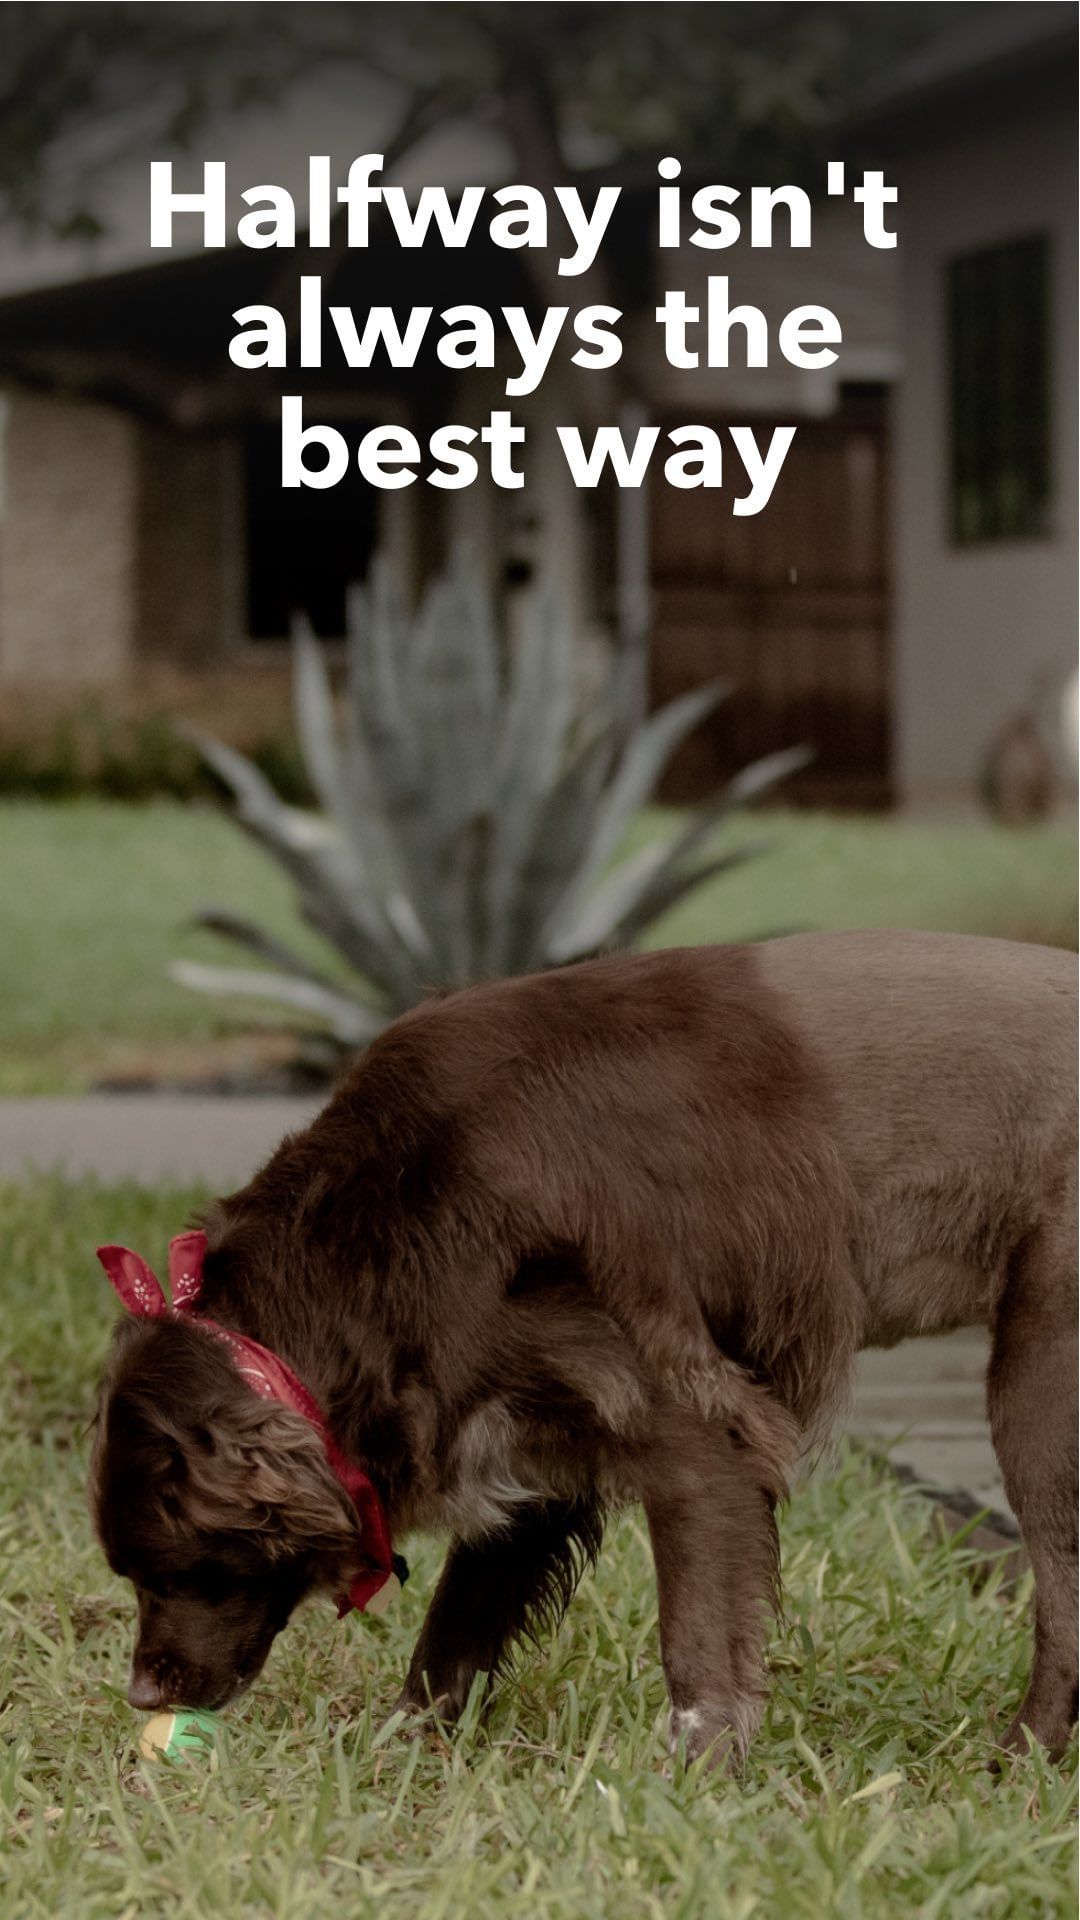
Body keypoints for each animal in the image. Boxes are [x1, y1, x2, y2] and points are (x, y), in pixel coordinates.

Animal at [89, 931, 1078, 1766]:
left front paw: (695, 1775)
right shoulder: (524, 1444)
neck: (381, 1235)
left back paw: (1023, 1757)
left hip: (1039, 1384)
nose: (140, 1697)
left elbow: (698, 1642)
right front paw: (400, 1753)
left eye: (171, 1568)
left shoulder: (696, 1429)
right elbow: (456, 1626)